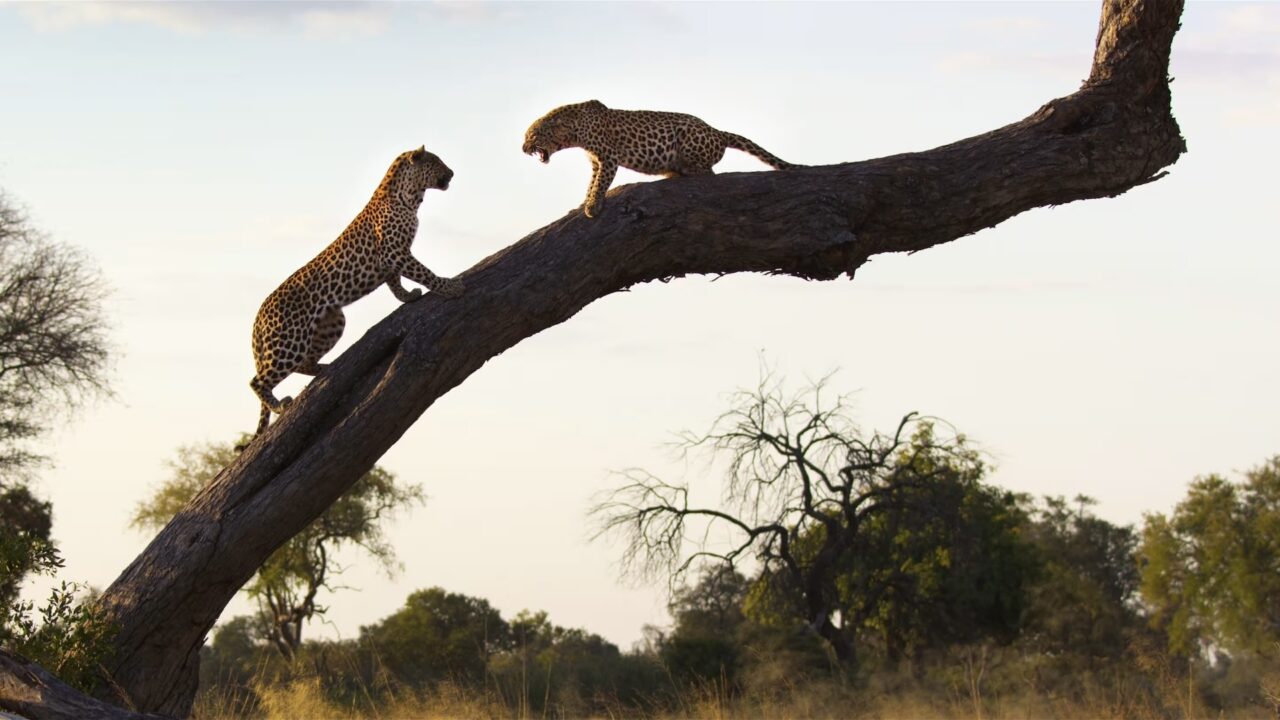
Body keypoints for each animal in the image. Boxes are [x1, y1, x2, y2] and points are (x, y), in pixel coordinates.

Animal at [247, 144, 463, 435]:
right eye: (436, 162)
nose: (452, 172)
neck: (407, 196)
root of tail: (259, 316)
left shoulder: (391, 260)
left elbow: (396, 284)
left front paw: (408, 296)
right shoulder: (395, 253)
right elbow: (423, 272)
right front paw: (449, 286)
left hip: (332, 322)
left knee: (303, 363)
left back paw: (325, 368)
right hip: (289, 341)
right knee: (257, 381)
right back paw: (281, 405)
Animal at [519, 98, 788, 217]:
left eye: (531, 135)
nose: (522, 148)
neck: (573, 131)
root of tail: (717, 132)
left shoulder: (608, 158)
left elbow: (601, 183)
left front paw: (593, 205)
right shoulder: (596, 162)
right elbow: (592, 182)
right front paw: (586, 201)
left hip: (688, 137)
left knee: (708, 172)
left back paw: (684, 171)